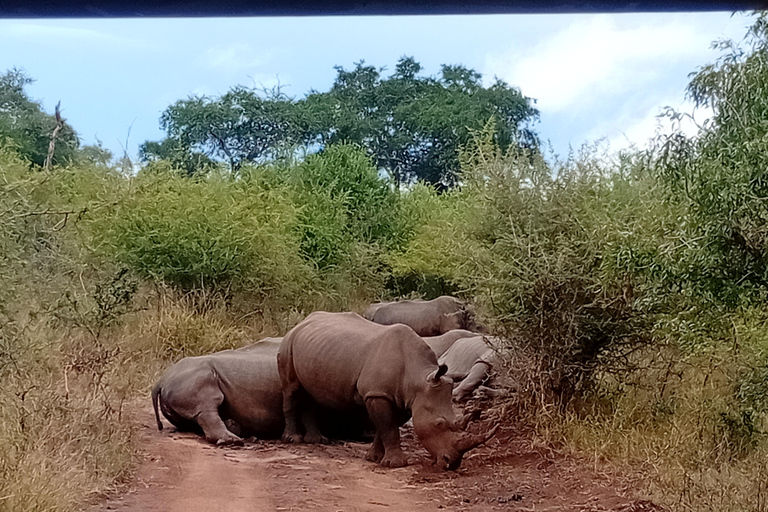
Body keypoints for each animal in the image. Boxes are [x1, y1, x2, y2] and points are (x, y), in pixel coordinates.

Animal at [277, 311, 497, 470]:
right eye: (439, 424)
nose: (451, 463)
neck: (419, 378)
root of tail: (303, 321)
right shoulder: (377, 394)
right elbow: (388, 427)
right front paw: (396, 464)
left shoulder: (404, 398)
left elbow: (386, 427)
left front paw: (374, 457)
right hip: (288, 342)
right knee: (291, 389)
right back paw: (293, 439)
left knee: (309, 393)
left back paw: (316, 440)